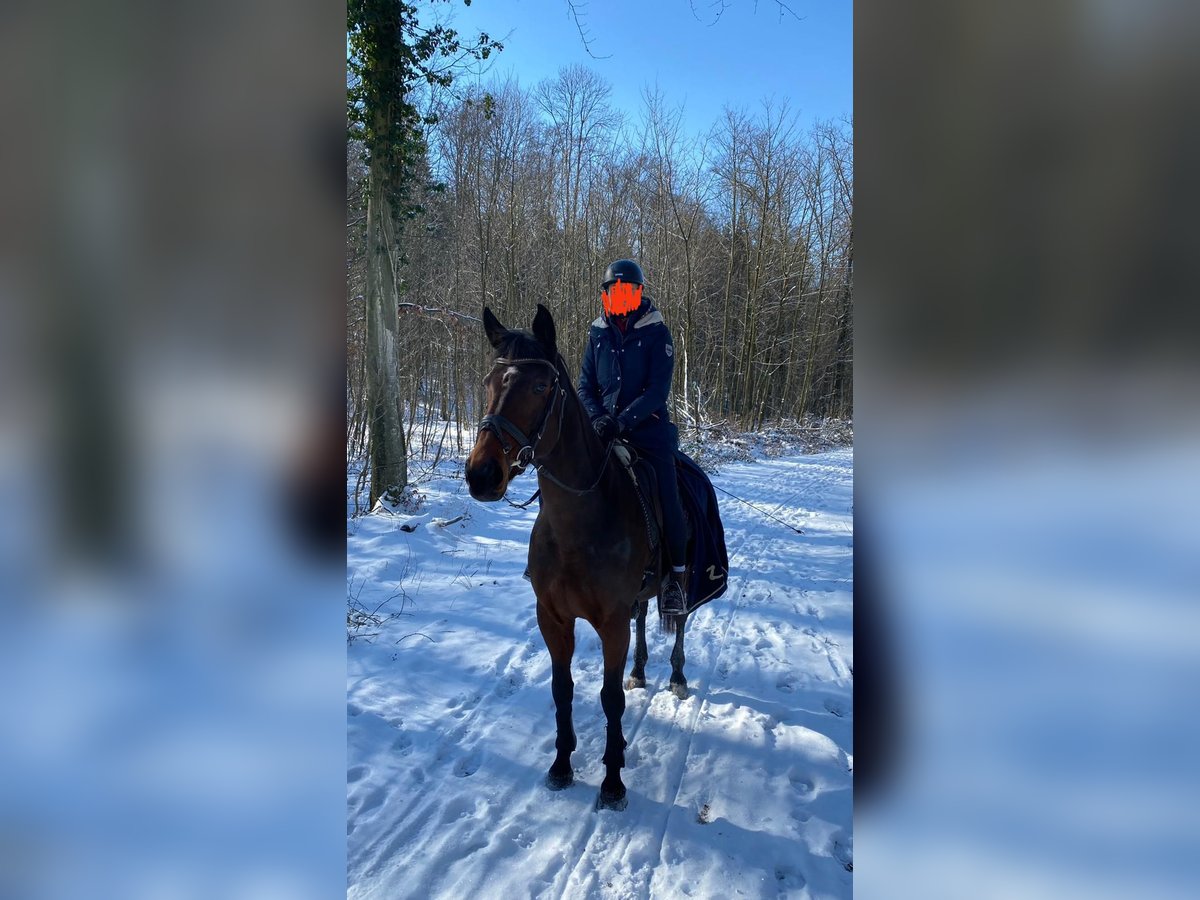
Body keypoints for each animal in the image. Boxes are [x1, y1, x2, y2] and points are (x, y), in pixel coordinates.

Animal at [463, 307, 691, 816]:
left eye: (540, 386)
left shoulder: (610, 624)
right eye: (487, 381)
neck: (577, 524)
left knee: (681, 621)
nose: (481, 474)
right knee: (643, 618)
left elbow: (608, 698)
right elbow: (562, 689)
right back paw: (640, 671)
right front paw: (562, 764)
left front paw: (613, 780)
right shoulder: (553, 618)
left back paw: (677, 676)